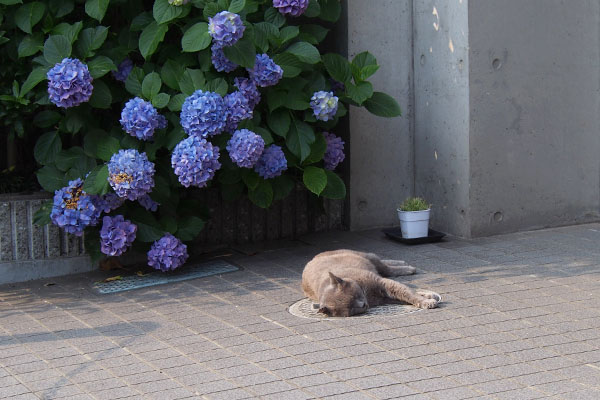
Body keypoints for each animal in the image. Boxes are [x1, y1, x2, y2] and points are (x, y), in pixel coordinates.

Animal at [302, 250, 438, 316]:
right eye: (351, 307)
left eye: (354, 296)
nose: (363, 305)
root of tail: (313, 258)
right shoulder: (384, 298)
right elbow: (406, 296)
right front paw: (428, 298)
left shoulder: (383, 282)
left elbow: (408, 292)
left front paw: (428, 301)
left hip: (366, 256)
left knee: (385, 267)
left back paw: (408, 267)